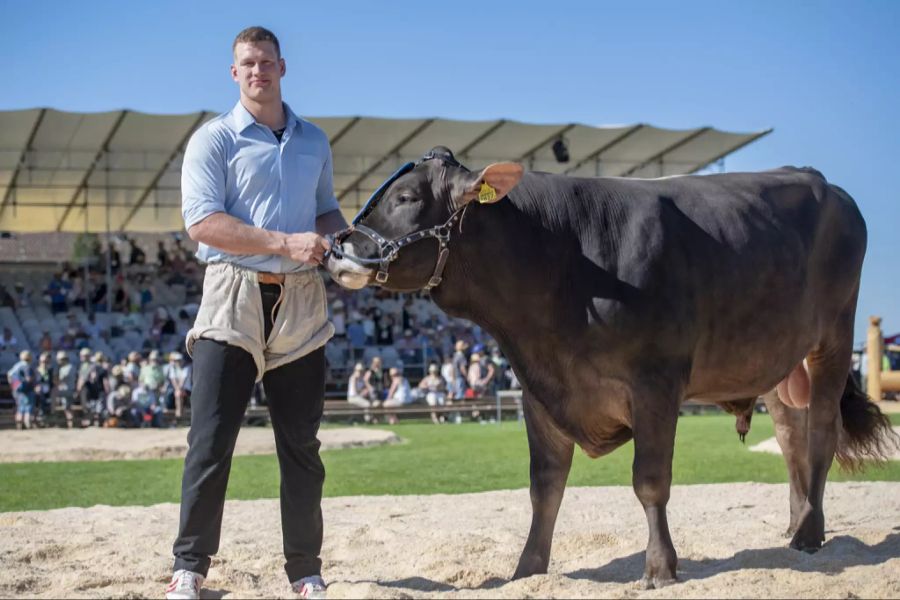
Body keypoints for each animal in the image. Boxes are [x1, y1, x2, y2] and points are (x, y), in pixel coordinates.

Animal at [326, 148, 896, 588]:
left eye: (406, 199)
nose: (339, 250)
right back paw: (795, 527)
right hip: (775, 360)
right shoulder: (539, 390)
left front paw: (660, 568)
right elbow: (544, 486)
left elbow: (650, 480)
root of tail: (821, 180)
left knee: (821, 432)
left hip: (833, 337)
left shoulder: (656, 382)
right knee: (791, 435)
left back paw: (811, 532)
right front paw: (527, 570)